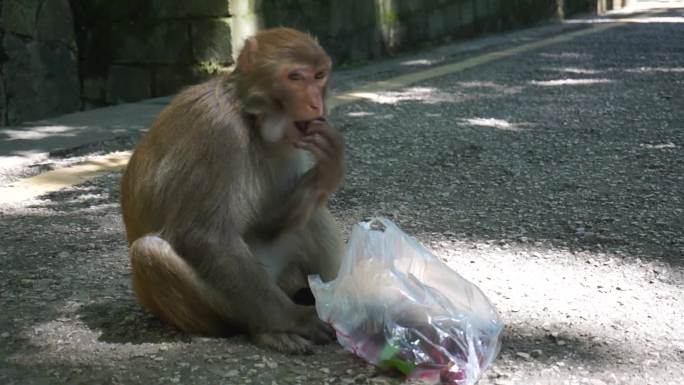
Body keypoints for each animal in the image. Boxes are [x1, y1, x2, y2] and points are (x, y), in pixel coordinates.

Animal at [119, 27, 348, 352]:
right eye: (295, 77)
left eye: (319, 76)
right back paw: (265, 330)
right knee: (150, 251)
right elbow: (205, 235)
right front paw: (297, 320)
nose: (317, 104)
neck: (251, 118)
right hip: (233, 301)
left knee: (311, 217)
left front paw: (327, 172)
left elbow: (268, 223)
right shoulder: (220, 134)